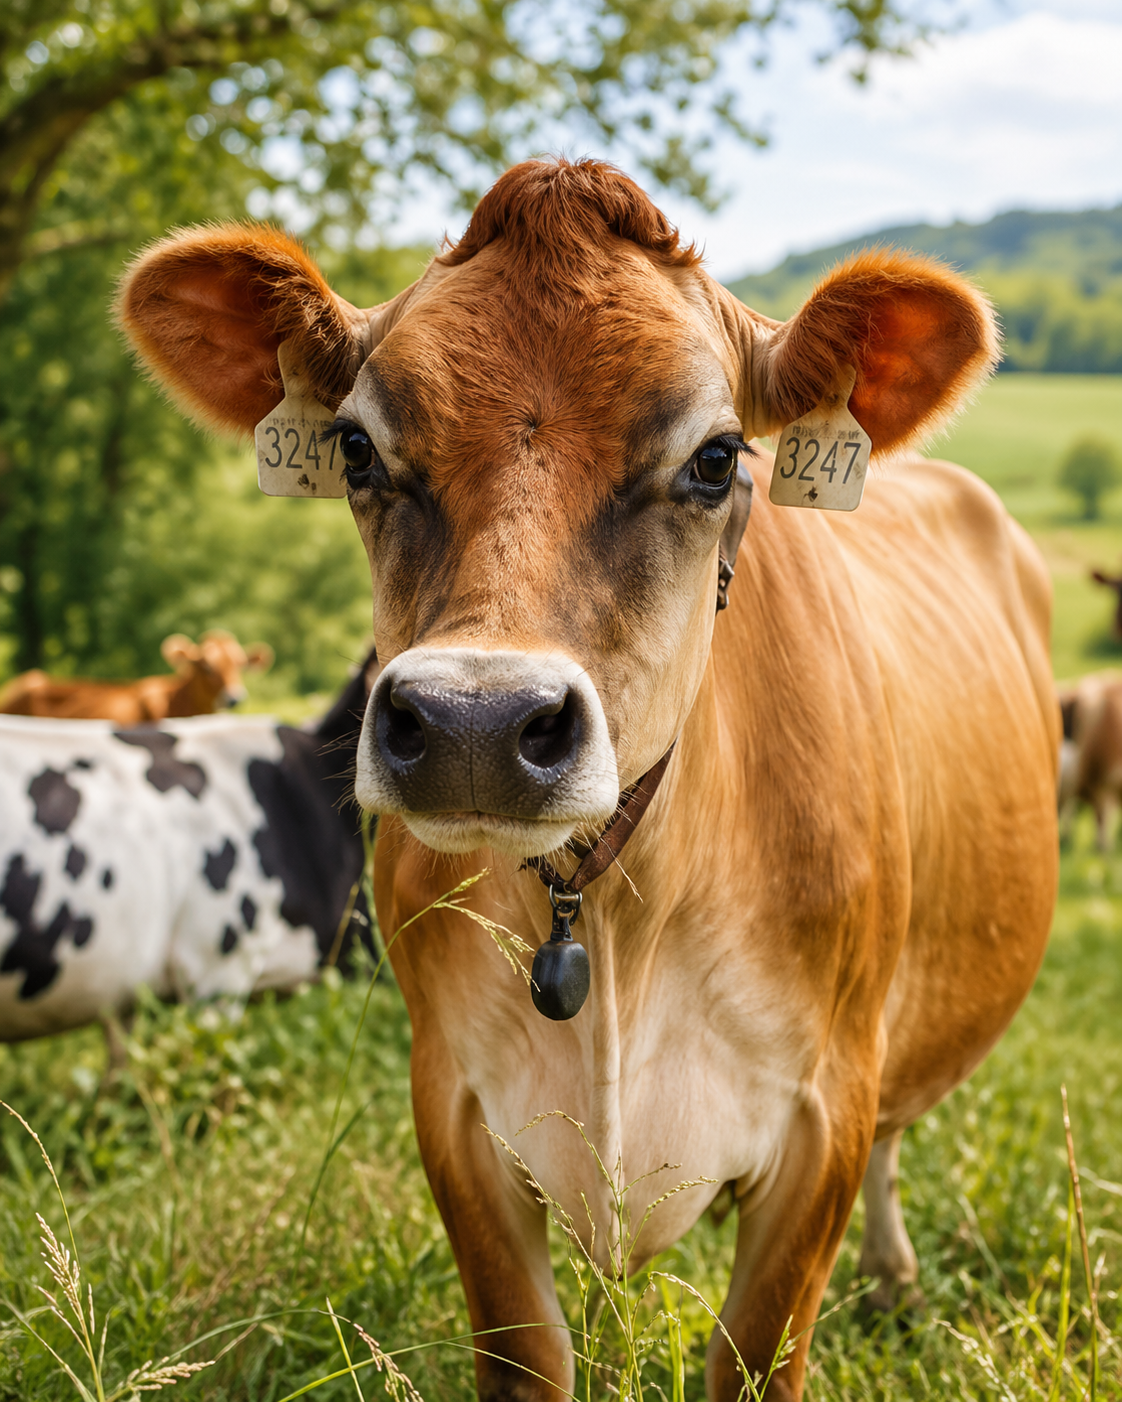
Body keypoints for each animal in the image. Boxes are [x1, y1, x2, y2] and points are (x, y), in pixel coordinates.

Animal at [118, 159, 1058, 1401]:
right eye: (359, 449)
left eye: (718, 457)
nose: (475, 723)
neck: (606, 914)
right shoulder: (452, 1102)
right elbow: (528, 1352)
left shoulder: (824, 1117)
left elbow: (756, 1352)